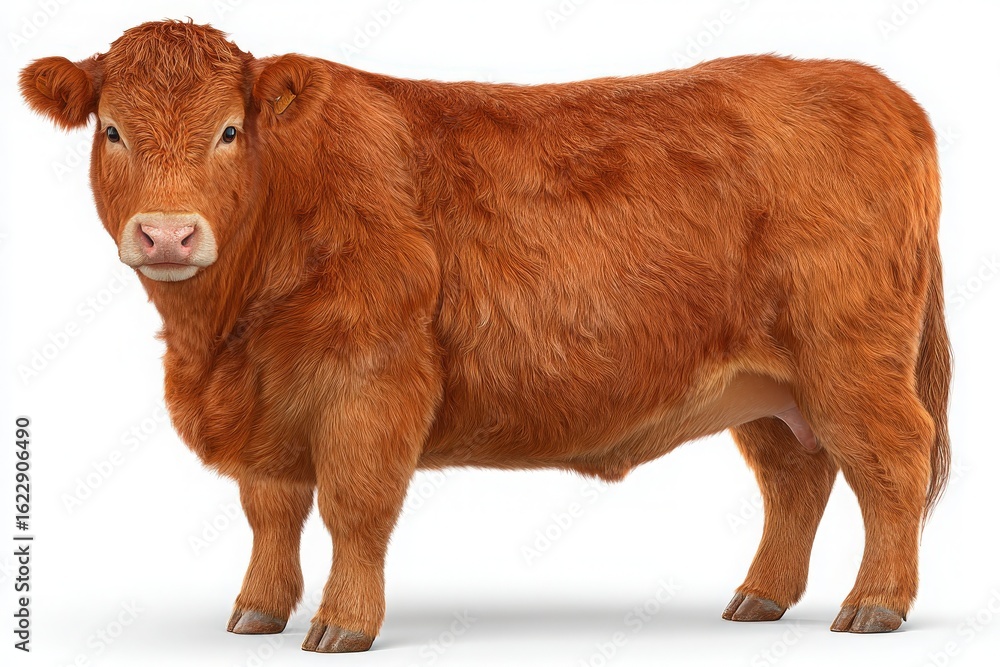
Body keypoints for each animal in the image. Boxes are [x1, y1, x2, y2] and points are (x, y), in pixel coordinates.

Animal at [20, 20, 950, 653]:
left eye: (228, 130)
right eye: (112, 129)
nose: (168, 234)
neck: (222, 337)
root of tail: (878, 89)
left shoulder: (372, 379)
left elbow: (354, 506)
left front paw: (342, 623)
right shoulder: (266, 403)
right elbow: (271, 511)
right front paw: (257, 610)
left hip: (851, 360)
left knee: (893, 462)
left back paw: (874, 604)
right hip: (765, 387)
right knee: (797, 476)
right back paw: (761, 596)